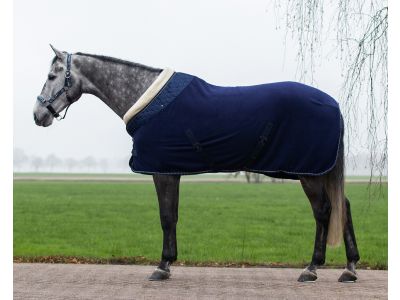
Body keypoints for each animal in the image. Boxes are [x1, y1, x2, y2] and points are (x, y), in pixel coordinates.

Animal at [33, 45, 360, 282]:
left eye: (51, 76)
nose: (38, 115)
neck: (147, 98)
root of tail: (334, 104)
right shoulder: (171, 171)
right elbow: (173, 216)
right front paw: (168, 263)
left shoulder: (162, 171)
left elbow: (166, 217)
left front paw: (162, 266)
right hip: (319, 170)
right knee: (343, 206)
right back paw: (350, 268)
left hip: (310, 173)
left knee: (324, 211)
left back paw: (312, 268)